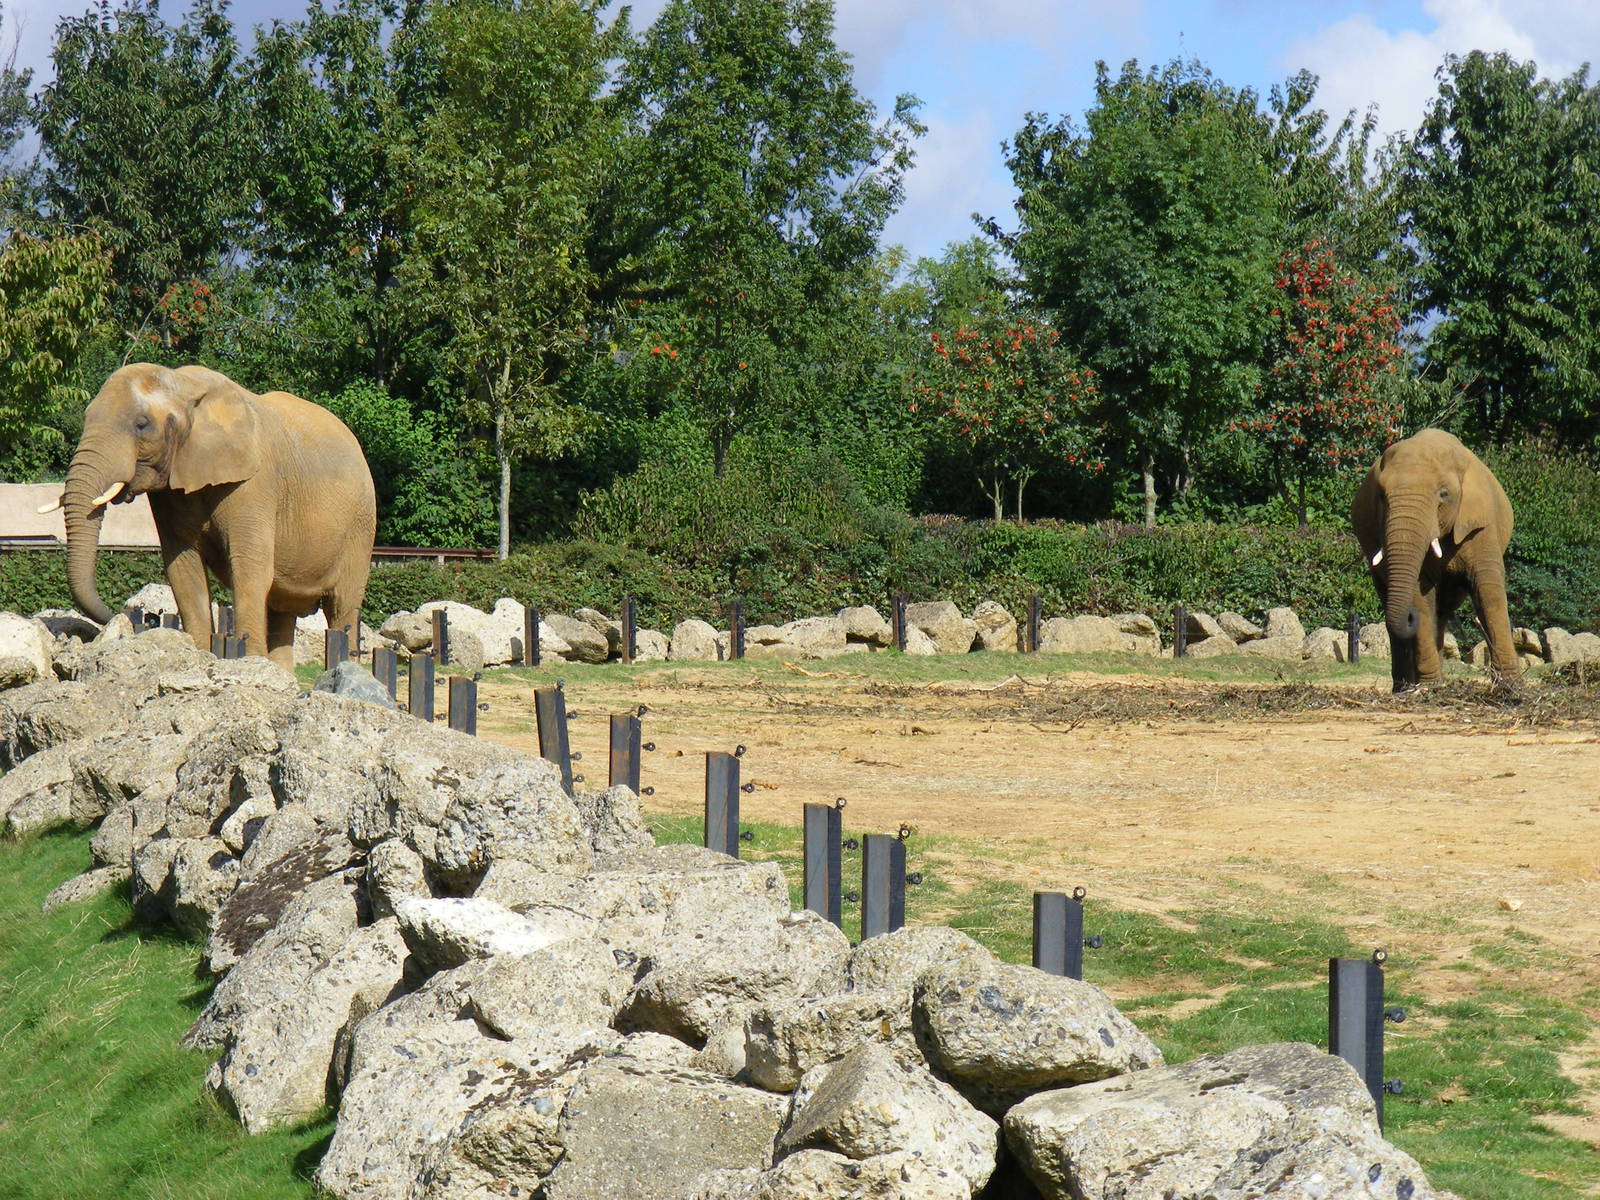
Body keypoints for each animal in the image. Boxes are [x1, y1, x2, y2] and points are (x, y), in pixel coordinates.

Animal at [40, 363, 376, 671]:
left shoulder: (255, 484)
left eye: (141, 424)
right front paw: (199, 657)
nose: (138, 619)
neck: (183, 385)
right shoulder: (170, 492)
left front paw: (249, 665)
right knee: (282, 611)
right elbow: (183, 569)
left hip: (361, 526)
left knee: (342, 605)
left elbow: (250, 568)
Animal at [1351, 428, 1520, 692]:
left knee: (1442, 609)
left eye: (1444, 494)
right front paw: (1430, 687)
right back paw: (1405, 688)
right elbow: (1420, 595)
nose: (1409, 616)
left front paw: (1511, 687)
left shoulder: (1481, 525)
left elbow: (1489, 590)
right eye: (1381, 496)